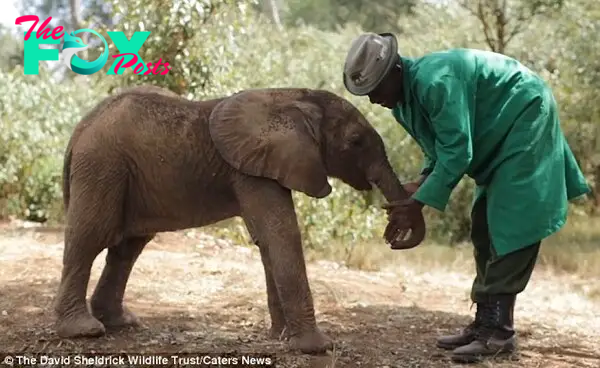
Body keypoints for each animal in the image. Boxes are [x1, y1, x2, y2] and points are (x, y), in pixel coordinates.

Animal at [54, 85, 424, 354]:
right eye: (355, 142)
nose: (393, 232)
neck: (291, 98)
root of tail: (80, 128)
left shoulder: (264, 166)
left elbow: (266, 240)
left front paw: (281, 336)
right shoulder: (251, 170)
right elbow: (282, 234)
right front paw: (316, 347)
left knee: (127, 249)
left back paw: (121, 322)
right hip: (102, 166)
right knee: (90, 237)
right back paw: (84, 331)